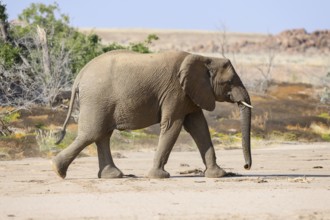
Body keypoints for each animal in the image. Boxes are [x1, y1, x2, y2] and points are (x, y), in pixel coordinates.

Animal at [52, 50, 253, 180]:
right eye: (229, 82)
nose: (246, 166)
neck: (204, 58)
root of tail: (80, 75)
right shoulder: (175, 91)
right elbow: (173, 126)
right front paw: (158, 176)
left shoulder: (190, 94)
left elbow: (199, 127)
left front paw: (218, 175)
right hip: (97, 99)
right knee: (92, 134)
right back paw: (58, 170)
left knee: (102, 135)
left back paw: (112, 176)